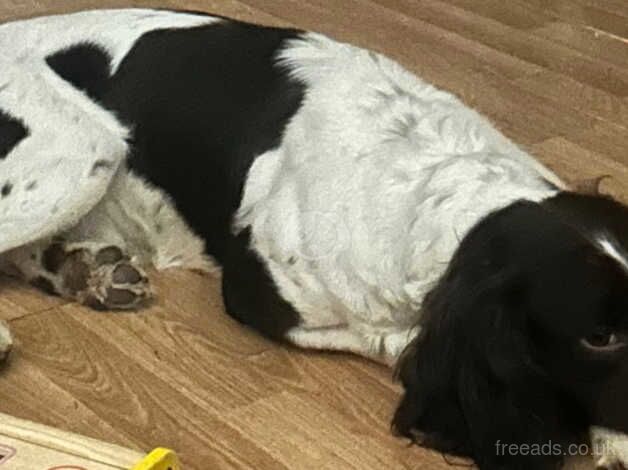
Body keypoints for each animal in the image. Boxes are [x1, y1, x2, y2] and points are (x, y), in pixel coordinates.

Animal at [1, 8, 628, 470]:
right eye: (597, 337)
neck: (437, 185)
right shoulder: (265, 298)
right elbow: (397, 343)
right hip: (86, 148)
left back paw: (86, 272)